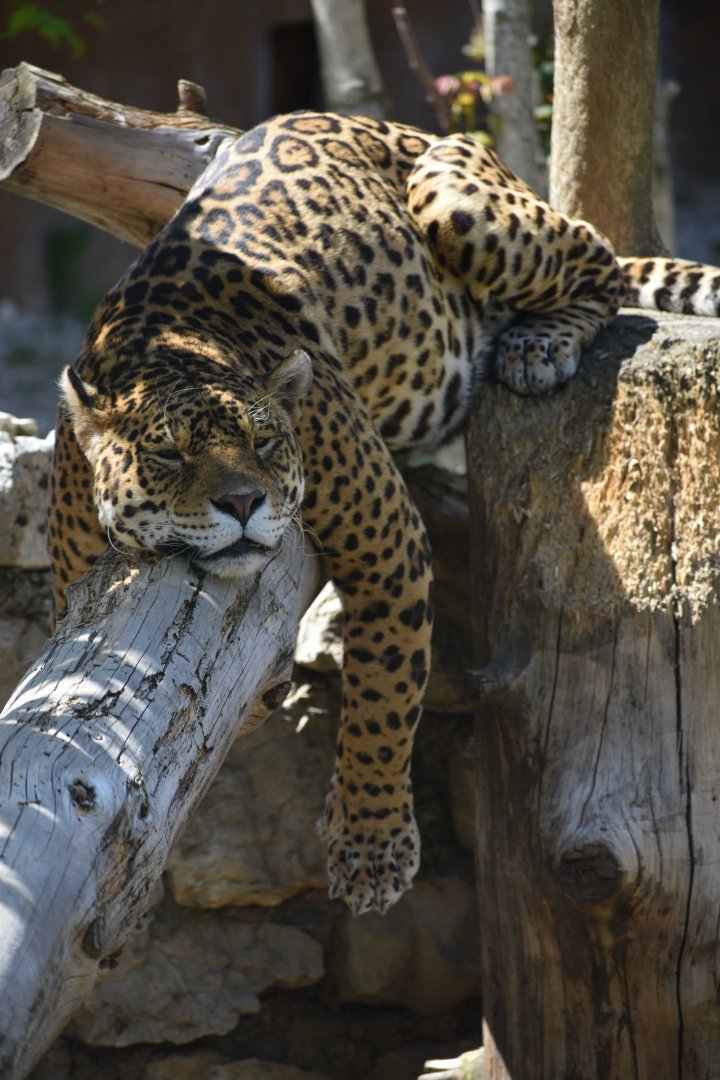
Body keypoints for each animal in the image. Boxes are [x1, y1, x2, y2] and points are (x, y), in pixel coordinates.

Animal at [50, 111, 720, 915]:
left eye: (265, 441)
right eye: (168, 454)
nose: (242, 501)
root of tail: (398, 124)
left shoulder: (387, 541)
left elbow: (383, 696)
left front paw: (373, 850)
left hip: (458, 198)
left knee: (600, 259)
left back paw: (537, 346)